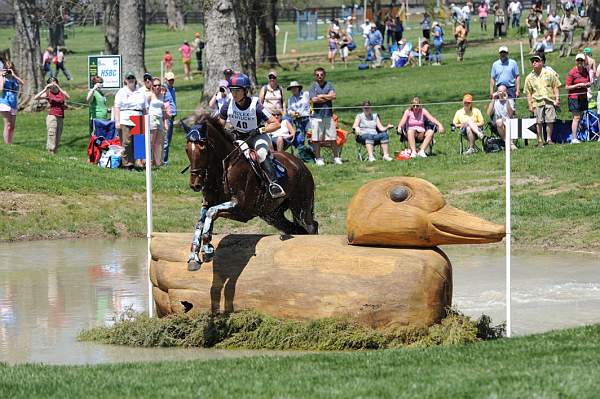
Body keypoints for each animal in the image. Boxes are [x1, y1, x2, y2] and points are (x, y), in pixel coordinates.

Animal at [183, 114, 318, 274]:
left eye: (203, 148)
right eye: (186, 149)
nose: (195, 184)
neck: (223, 168)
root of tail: (300, 163)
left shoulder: (239, 206)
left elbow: (211, 213)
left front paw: (208, 249)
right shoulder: (208, 203)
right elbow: (200, 223)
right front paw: (194, 258)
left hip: (301, 207)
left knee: (311, 226)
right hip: (272, 214)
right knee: (295, 229)